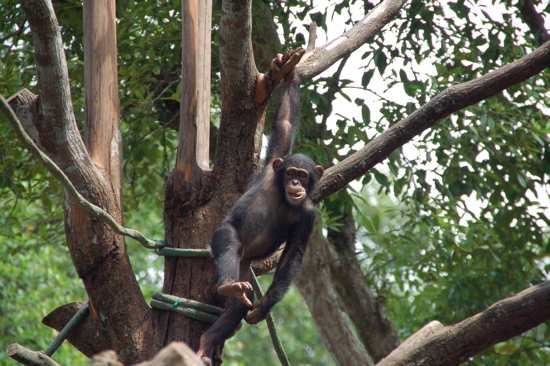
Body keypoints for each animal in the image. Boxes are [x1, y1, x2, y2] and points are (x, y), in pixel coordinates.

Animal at [198, 58, 326, 358]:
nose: (295, 182)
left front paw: (264, 307)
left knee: (238, 308)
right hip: (226, 241)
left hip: (246, 268)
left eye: (303, 175)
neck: (283, 196)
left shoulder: (309, 215)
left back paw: (207, 341)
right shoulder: (272, 166)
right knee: (230, 244)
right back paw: (228, 285)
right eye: (291, 172)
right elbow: (285, 123)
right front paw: (288, 72)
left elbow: (293, 254)